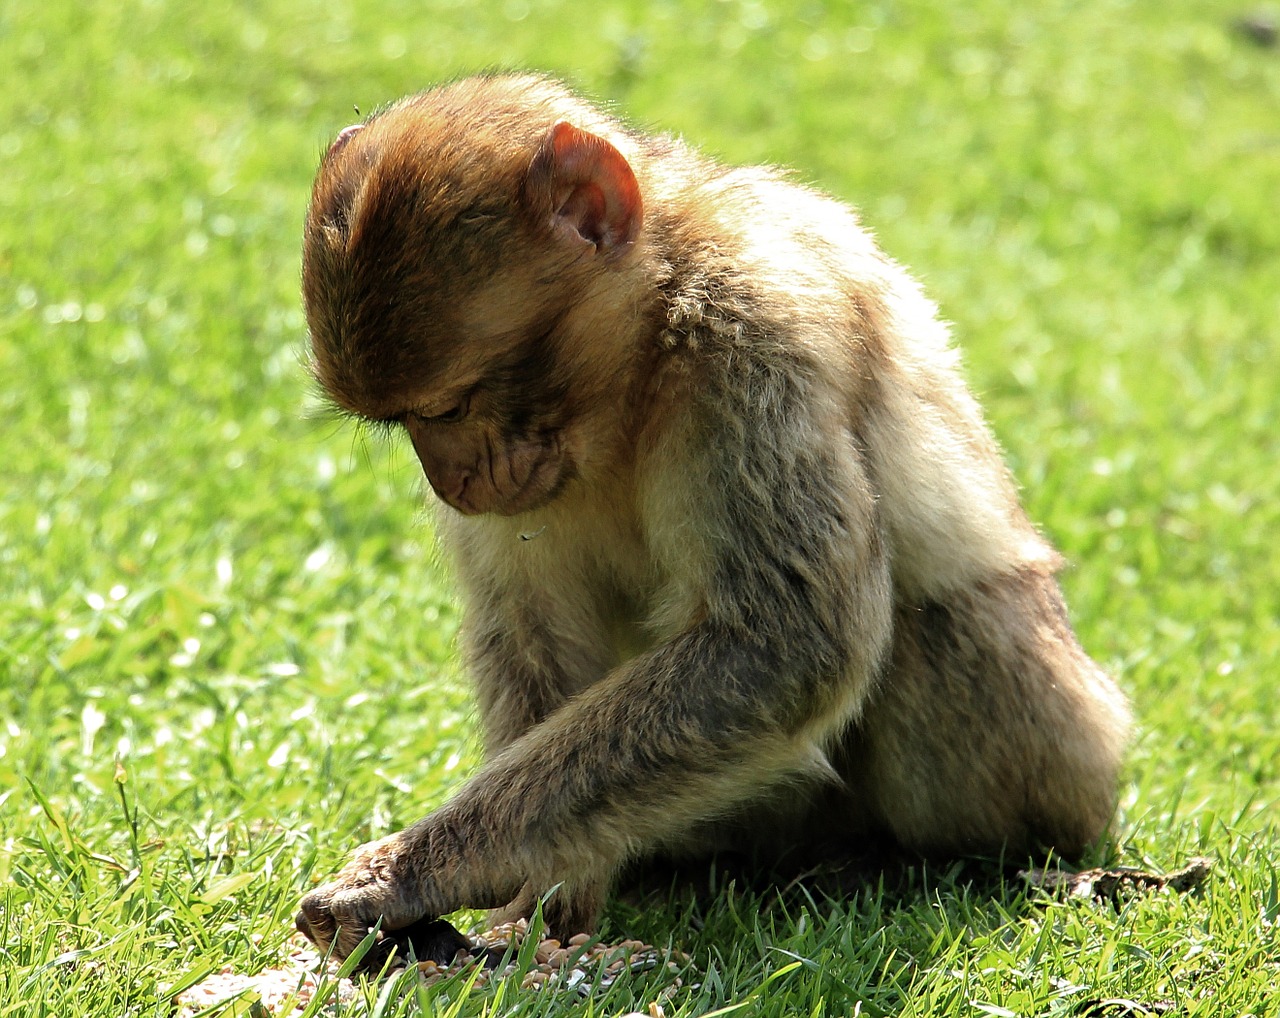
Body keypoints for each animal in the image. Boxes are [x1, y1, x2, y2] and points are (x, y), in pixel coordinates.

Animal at [293, 73, 1131, 962]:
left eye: (449, 406)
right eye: (406, 424)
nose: (452, 479)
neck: (643, 352)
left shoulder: (755, 338)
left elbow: (784, 642)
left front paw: (419, 872)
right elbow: (533, 626)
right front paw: (537, 895)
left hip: (1065, 742)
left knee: (924, 627)